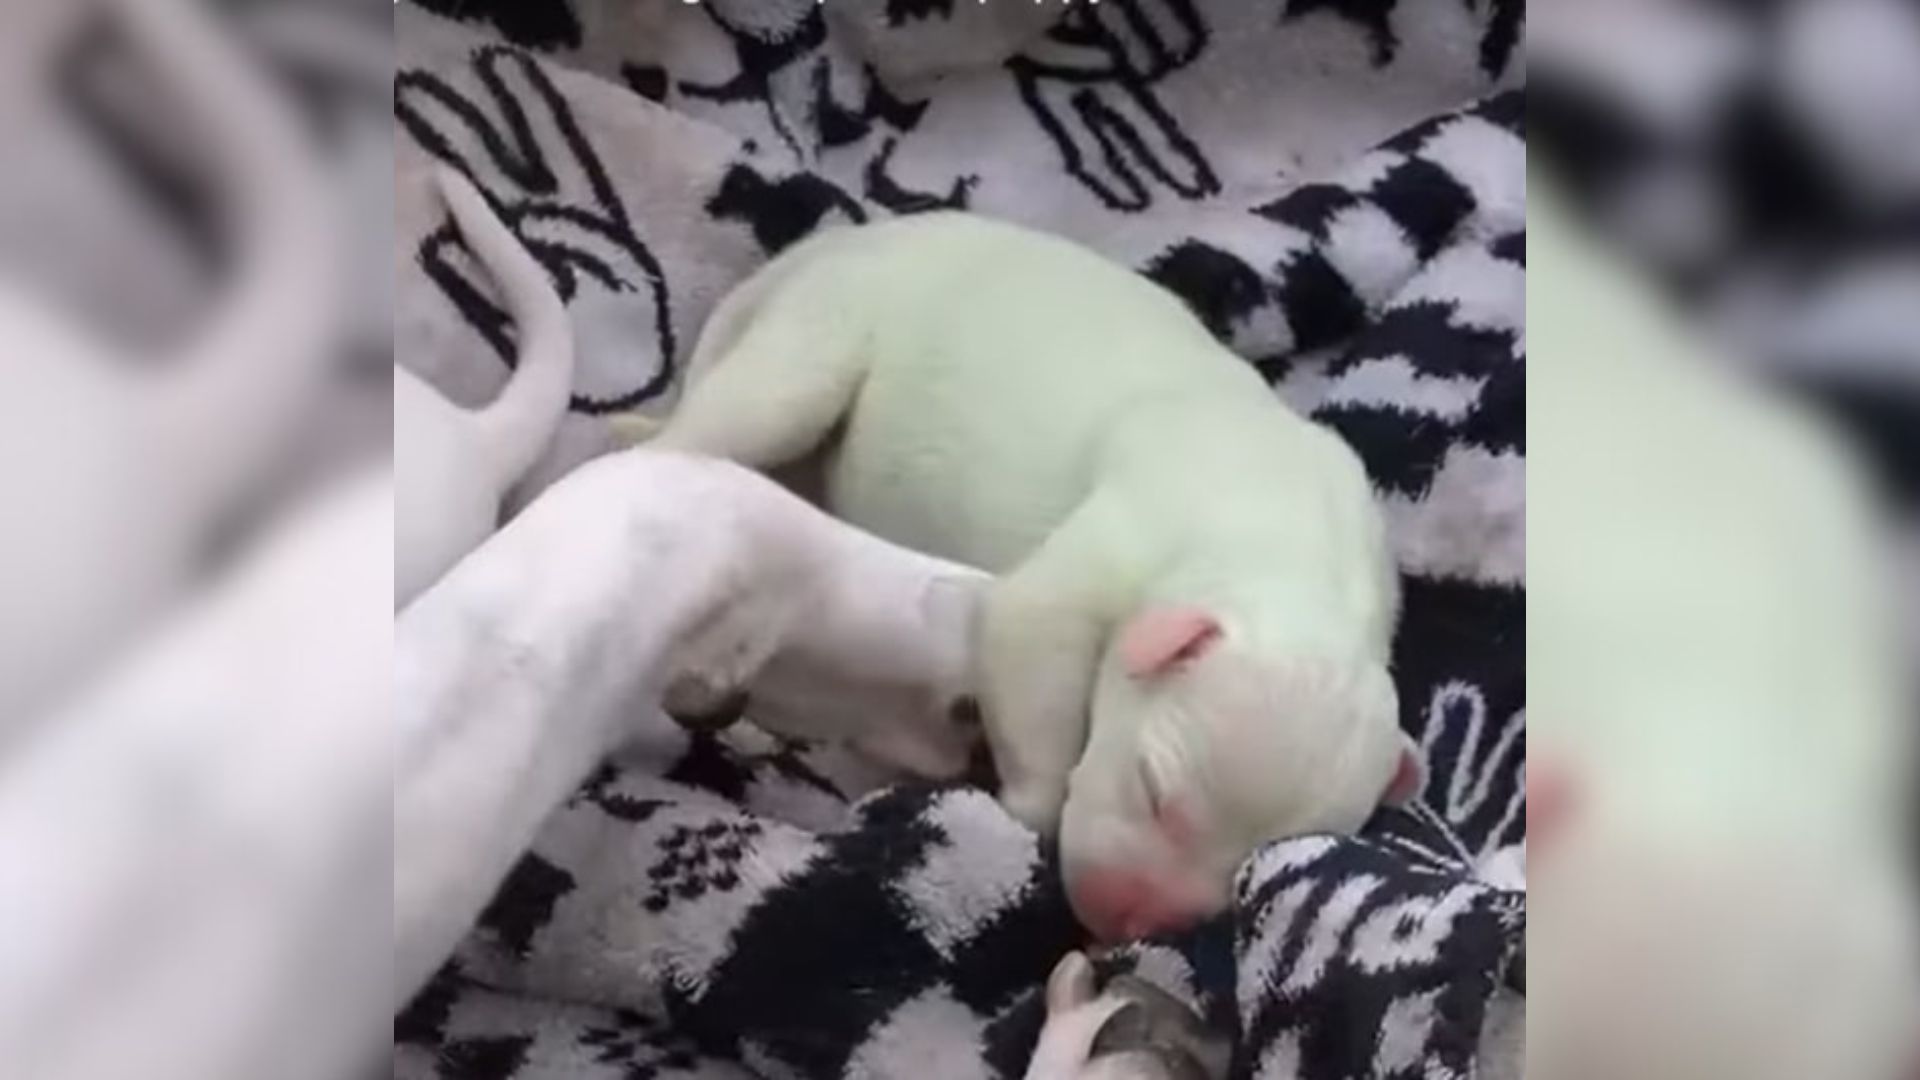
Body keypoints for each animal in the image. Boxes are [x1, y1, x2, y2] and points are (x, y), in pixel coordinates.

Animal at [622, 214, 1420, 937]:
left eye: (1241, 876)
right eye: (1152, 790)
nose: (1122, 922)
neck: (1301, 561)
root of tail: (822, 249)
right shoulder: (1099, 559)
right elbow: (1032, 641)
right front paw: (1023, 812)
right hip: (809, 354)